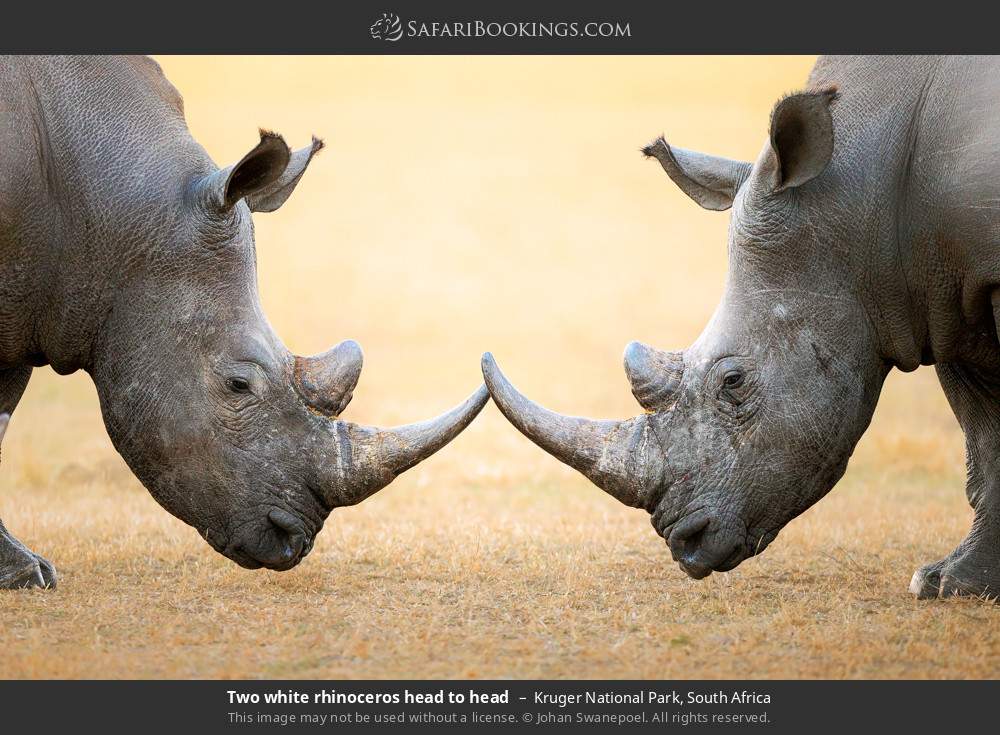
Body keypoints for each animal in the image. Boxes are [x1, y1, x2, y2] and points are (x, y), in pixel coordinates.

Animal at [0, 56, 487, 589]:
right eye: (237, 385)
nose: (291, 540)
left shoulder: (31, 300)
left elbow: (2, 414)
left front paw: (22, 573)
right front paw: (25, 574)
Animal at [483, 55, 1000, 600]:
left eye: (733, 382)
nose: (685, 542)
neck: (862, 199)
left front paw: (956, 585)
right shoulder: (942, 297)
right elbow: (984, 441)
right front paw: (952, 585)